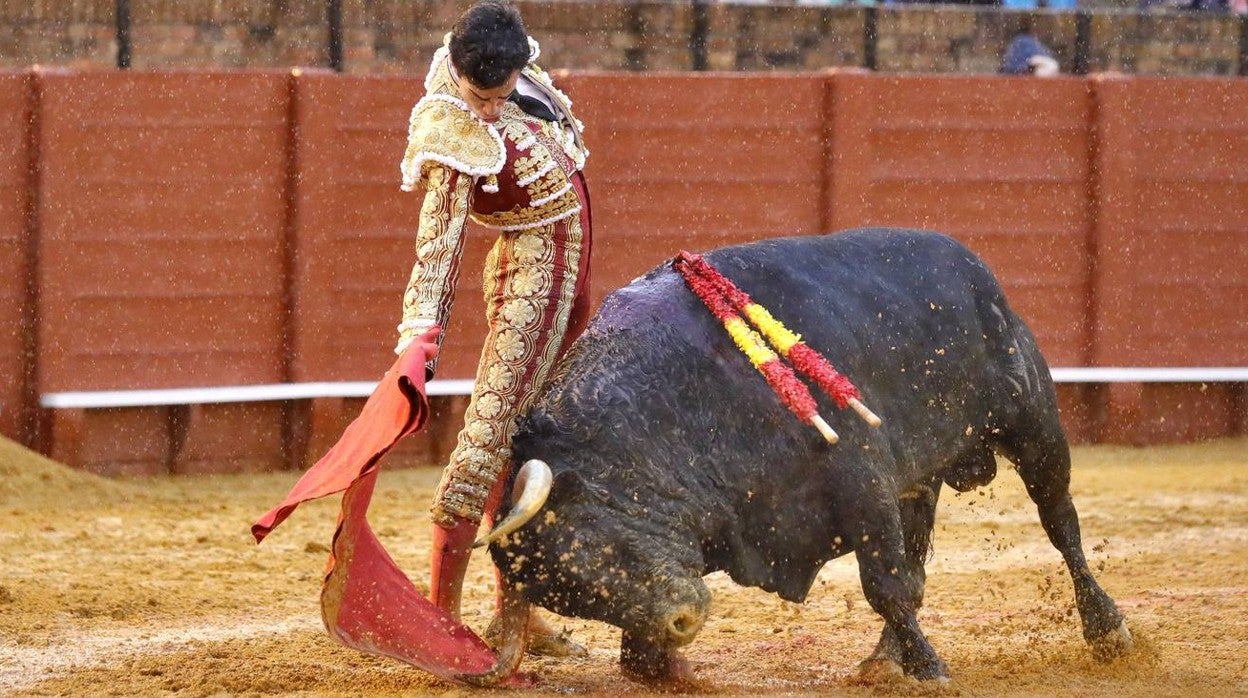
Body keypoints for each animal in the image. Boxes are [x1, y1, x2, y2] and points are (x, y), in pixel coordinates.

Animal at [466, 231, 1133, 689]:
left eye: (592, 544)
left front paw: (933, 670)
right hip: (919, 482)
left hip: (1033, 426)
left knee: (1060, 523)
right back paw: (883, 659)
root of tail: (974, 269)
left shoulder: (863, 483)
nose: (682, 621)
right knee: (922, 562)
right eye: (572, 595)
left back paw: (1107, 629)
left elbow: (884, 586)